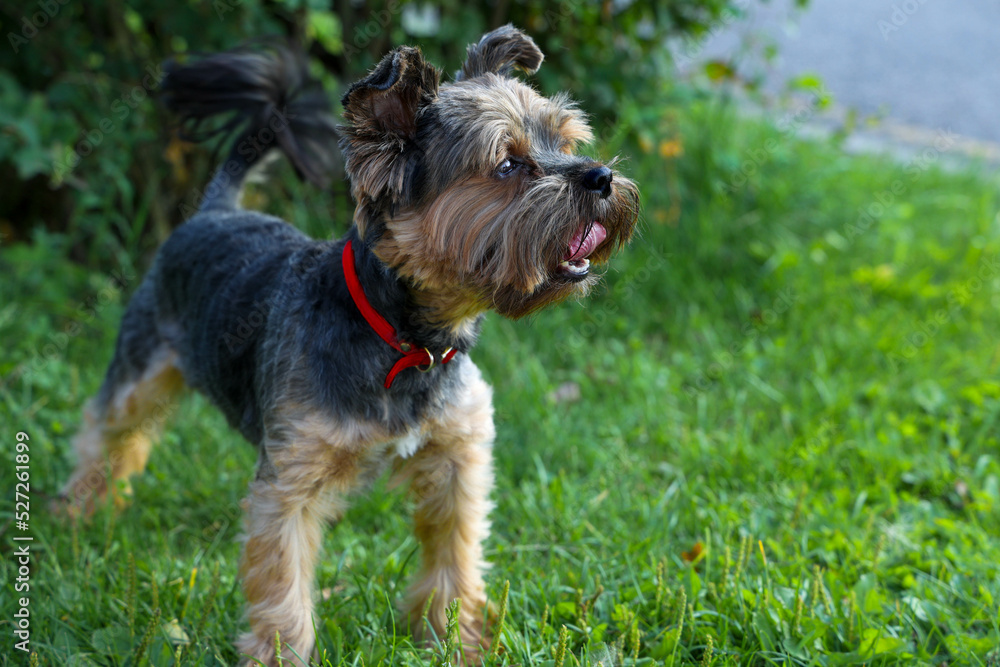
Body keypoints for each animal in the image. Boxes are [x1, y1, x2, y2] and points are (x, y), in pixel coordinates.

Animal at [60, 26, 640, 667]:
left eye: (563, 140)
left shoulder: (457, 455)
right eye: (508, 163)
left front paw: (454, 636)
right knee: (108, 428)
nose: (600, 177)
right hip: (142, 360)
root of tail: (214, 210)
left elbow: (454, 552)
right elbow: (282, 580)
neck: (407, 340)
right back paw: (79, 514)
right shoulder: (289, 478)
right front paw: (282, 653)